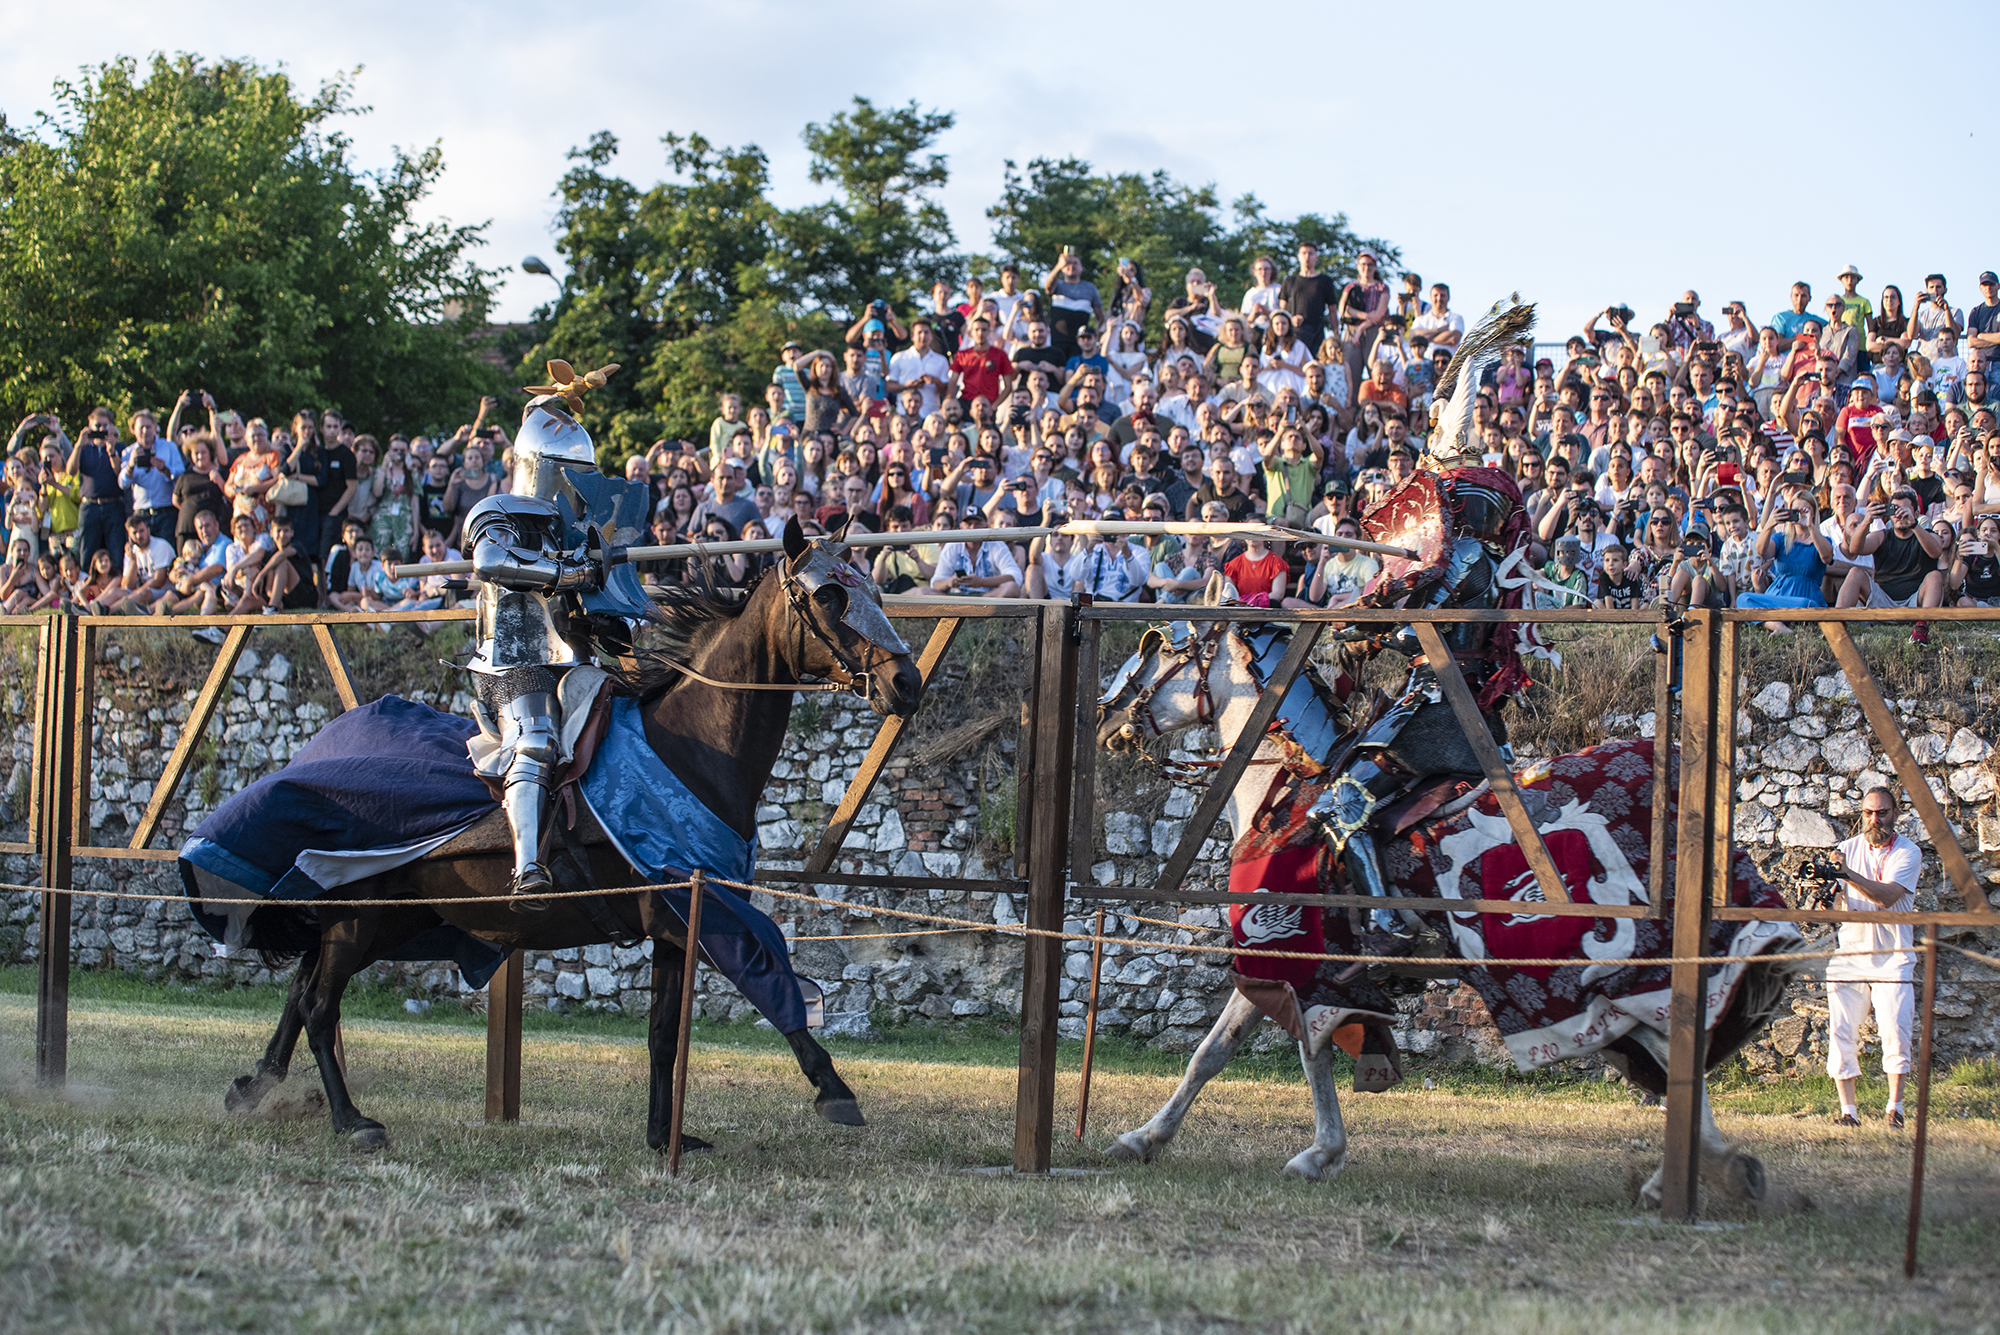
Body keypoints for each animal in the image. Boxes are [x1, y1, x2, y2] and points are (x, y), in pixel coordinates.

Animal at [221, 527, 920, 1151]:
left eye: (874, 591)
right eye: (829, 597)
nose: (906, 684)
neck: (692, 747)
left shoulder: (677, 925)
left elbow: (663, 1035)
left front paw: (663, 1136)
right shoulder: (706, 910)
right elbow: (768, 971)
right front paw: (834, 1089)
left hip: (386, 918)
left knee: (300, 992)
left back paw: (258, 1086)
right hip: (359, 917)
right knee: (318, 1005)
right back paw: (351, 1120)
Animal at [1104, 591, 1792, 1199]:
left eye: (1155, 651)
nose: (1109, 719)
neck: (1285, 790)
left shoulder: (1293, 955)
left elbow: (1245, 1051)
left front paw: (1157, 1140)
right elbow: (1244, 1050)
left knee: (1665, 1042)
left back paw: (1700, 1172)